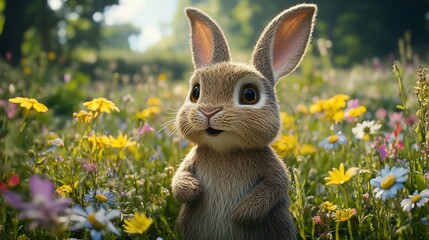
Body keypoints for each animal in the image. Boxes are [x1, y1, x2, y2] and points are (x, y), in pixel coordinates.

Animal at [172, 3, 316, 240]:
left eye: (250, 95)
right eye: (195, 92)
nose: (209, 111)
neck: (225, 152)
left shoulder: (274, 173)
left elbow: (276, 185)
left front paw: (242, 213)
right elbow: (178, 178)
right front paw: (192, 189)